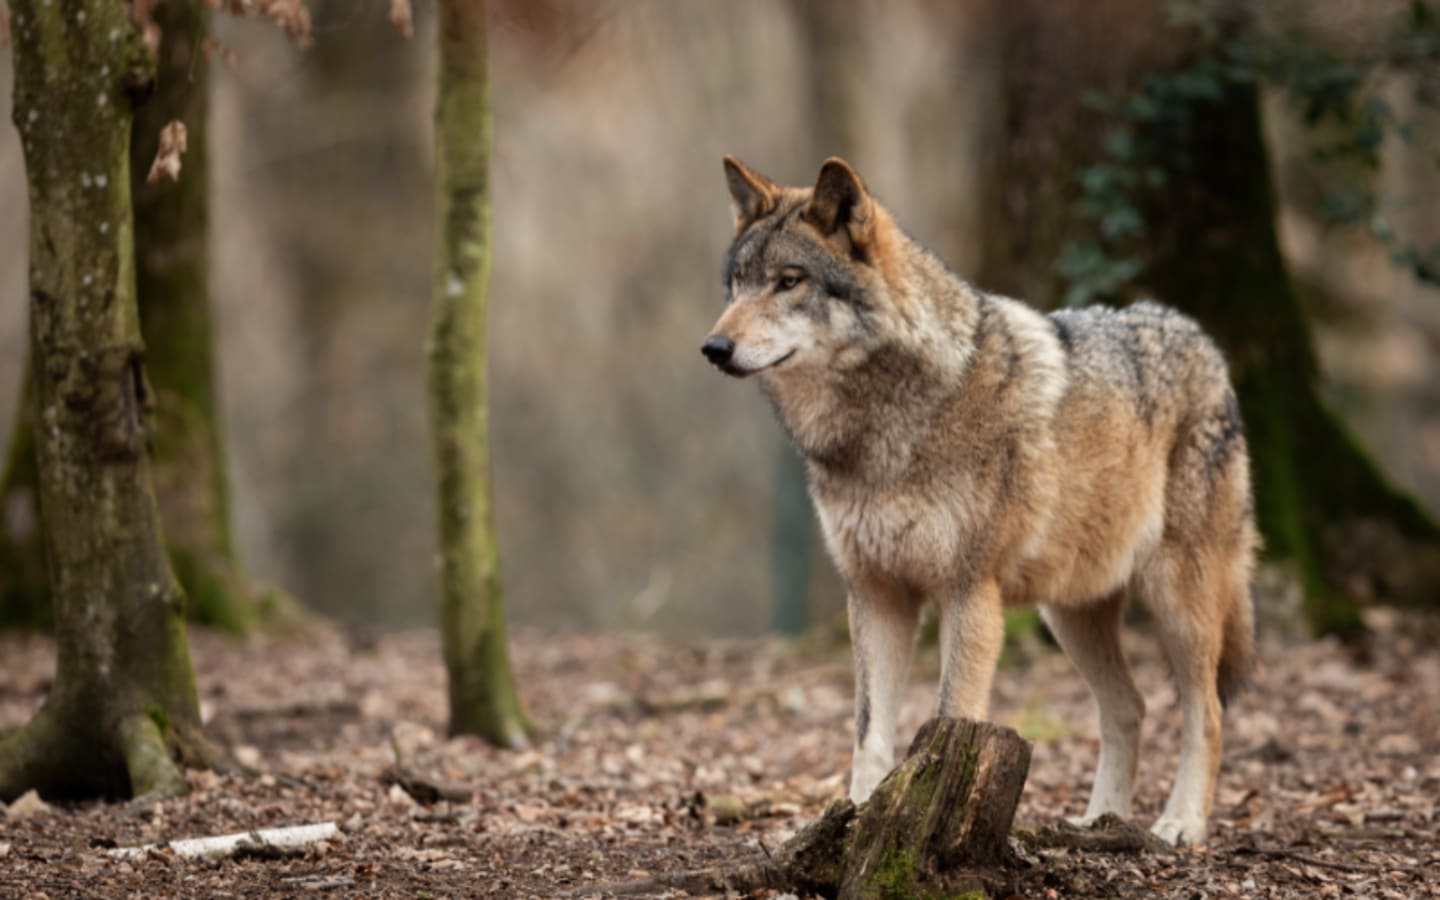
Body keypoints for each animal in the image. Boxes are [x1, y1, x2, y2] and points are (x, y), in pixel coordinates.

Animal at [701, 156, 1257, 846]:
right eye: (737, 285)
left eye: (788, 282)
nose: (713, 349)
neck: (883, 430)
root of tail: (1200, 336)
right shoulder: (876, 595)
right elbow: (869, 734)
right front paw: (857, 820)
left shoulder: (969, 594)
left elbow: (949, 718)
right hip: (1070, 614)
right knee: (1129, 706)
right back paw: (1099, 821)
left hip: (1178, 603)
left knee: (1206, 712)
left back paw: (1180, 823)